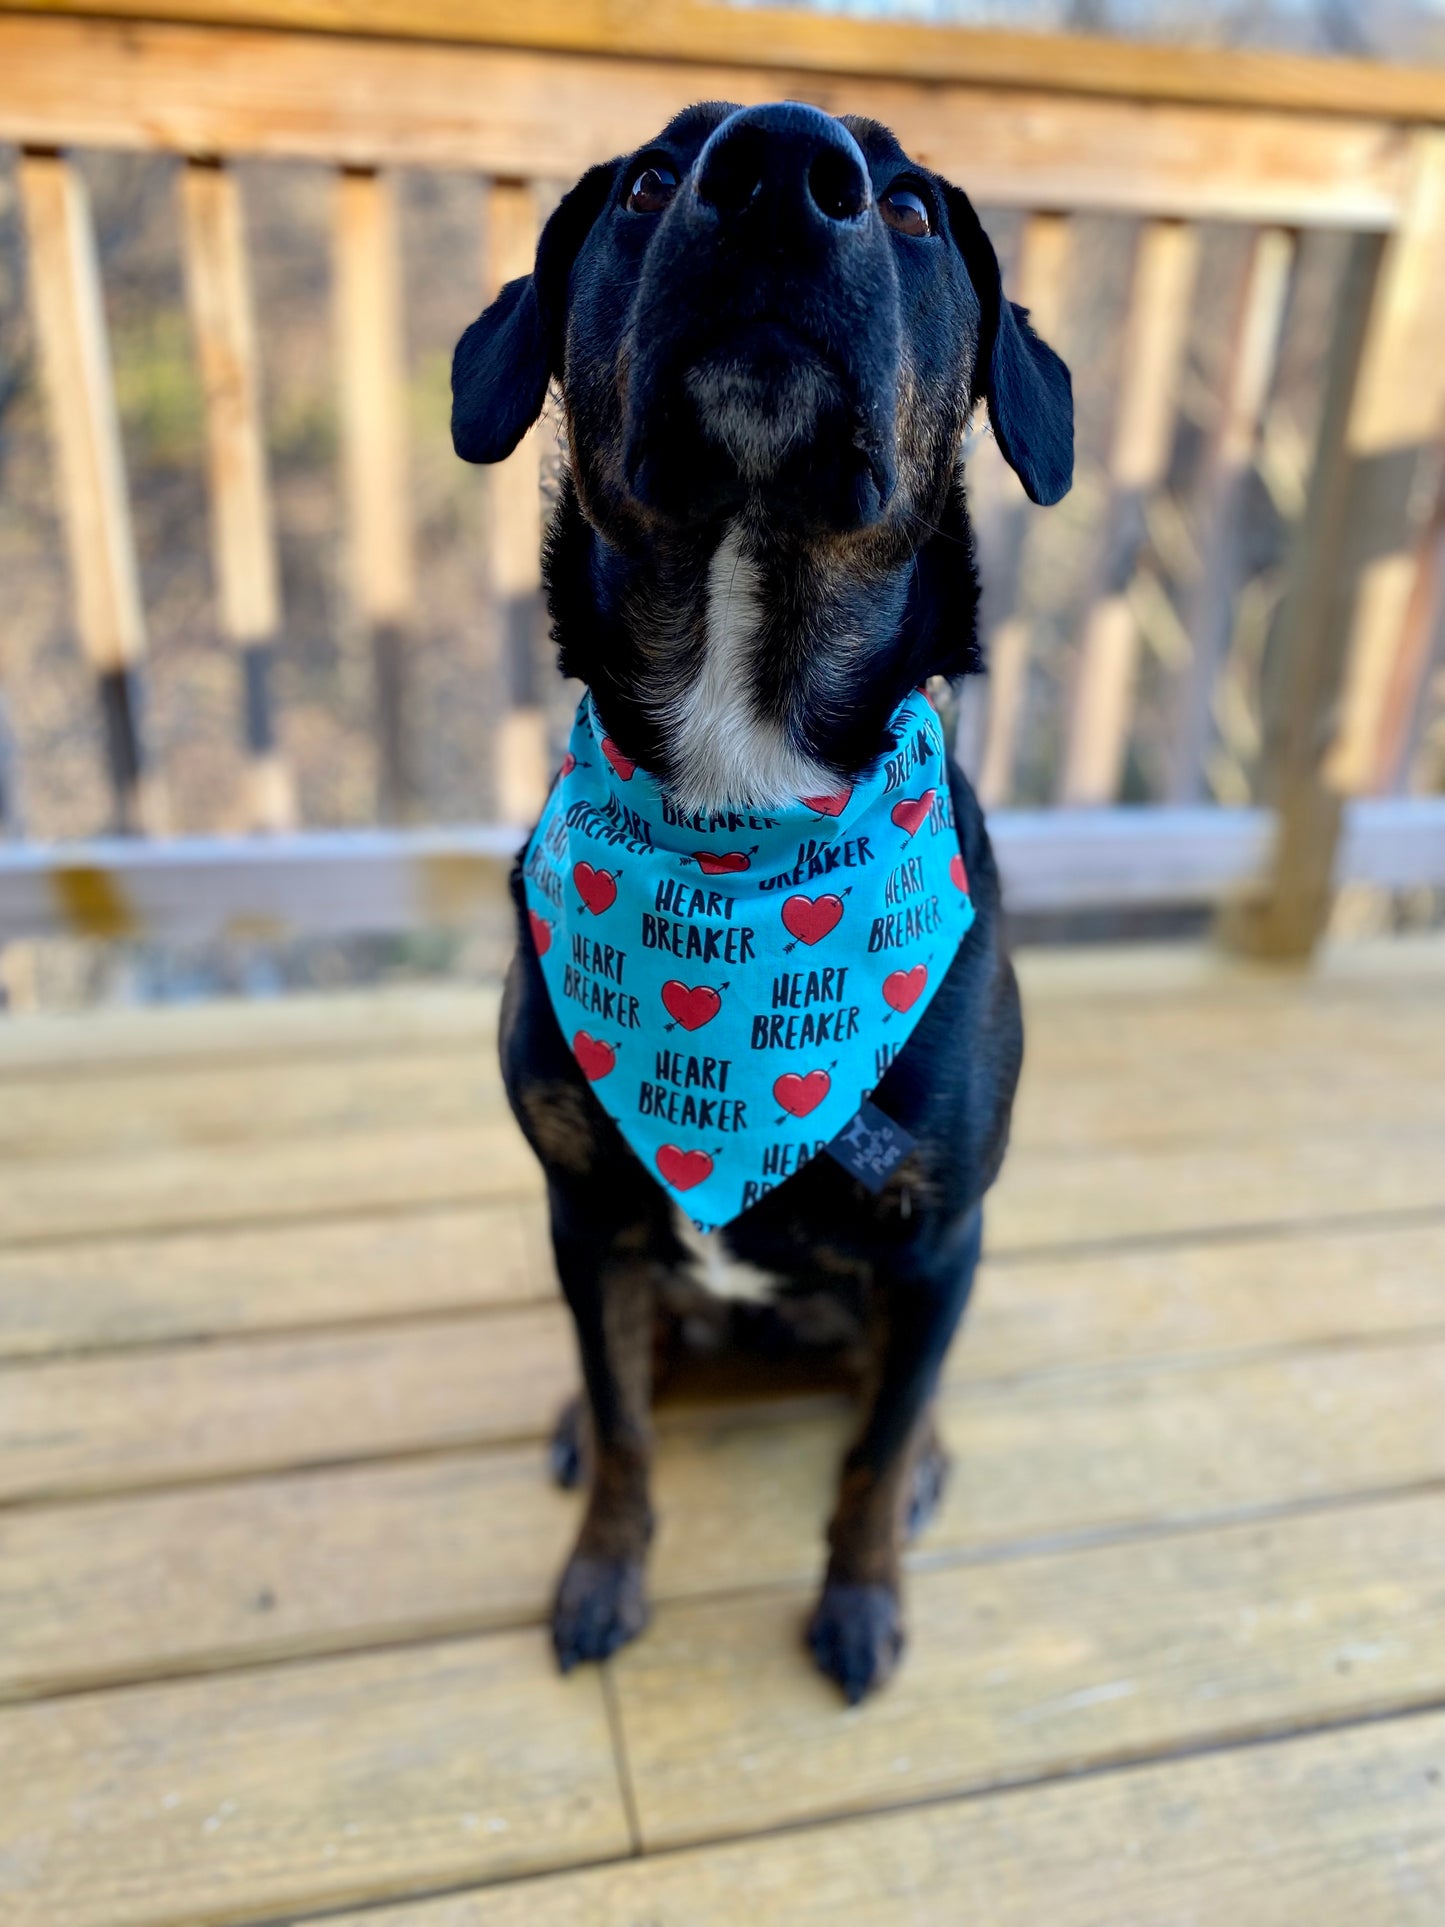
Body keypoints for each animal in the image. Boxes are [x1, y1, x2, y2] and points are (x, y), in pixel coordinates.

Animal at [452, 105, 1078, 1703]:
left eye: (909, 209)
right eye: (647, 183)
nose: (784, 166)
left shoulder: (934, 1240)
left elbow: (869, 1457)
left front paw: (860, 1596)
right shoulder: (584, 1217)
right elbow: (625, 1427)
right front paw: (602, 1572)